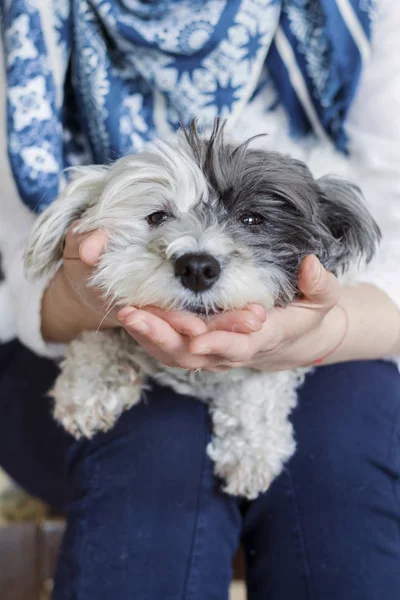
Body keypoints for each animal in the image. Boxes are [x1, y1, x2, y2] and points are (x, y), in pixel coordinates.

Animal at [25, 119, 382, 500]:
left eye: (252, 219)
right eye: (158, 217)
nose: (197, 267)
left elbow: (258, 390)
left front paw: (251, 450)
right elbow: (100, 334)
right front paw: (92, 384)